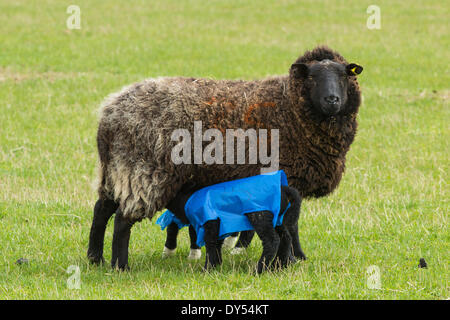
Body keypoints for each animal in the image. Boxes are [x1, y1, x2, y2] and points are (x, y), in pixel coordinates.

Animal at [156, 171, 304, 274]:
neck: (188, 199)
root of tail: (285, 190)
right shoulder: (221, 225)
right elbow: (217, 244)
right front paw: (216, 265)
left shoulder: (211, 223)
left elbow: (210, 244)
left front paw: (207, 269)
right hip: (278, 218)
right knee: (286, 237)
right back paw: (278, 266)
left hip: (260, 216)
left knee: (272, 240)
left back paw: (259, 270)